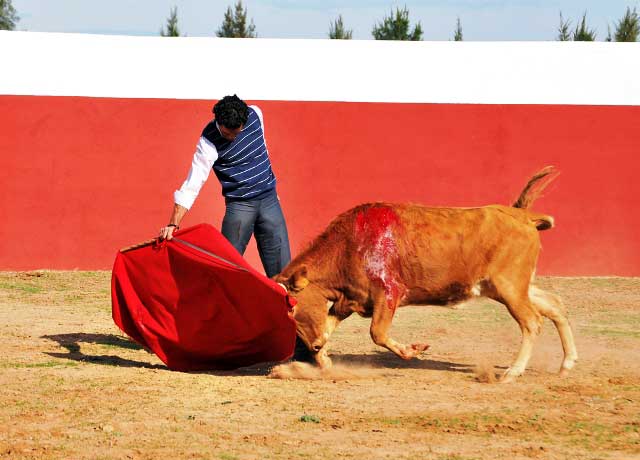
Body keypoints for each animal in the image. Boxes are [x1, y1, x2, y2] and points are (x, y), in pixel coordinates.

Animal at [276, 167, 580, 382]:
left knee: (532, 322)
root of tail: (523, 216)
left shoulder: (388, 293)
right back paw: (566, 365)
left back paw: (512, 373)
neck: (349, 244)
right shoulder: (351, 300)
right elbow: (329, 328)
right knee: (555, 305)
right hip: (512, 287)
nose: (311, 346)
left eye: (293, 307)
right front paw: (325, 363)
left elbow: (377, 333)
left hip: (509, 287)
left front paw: (413, 350)